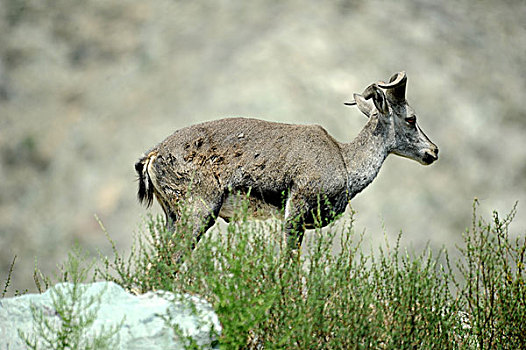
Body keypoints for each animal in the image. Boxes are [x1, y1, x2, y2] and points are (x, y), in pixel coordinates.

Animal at [135, 72, 438, 252]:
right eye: (411, 118)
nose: (433, 151)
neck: (343, 161)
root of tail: (153, 156)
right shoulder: (295, 214)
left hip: (173, 216)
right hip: (198, 211)